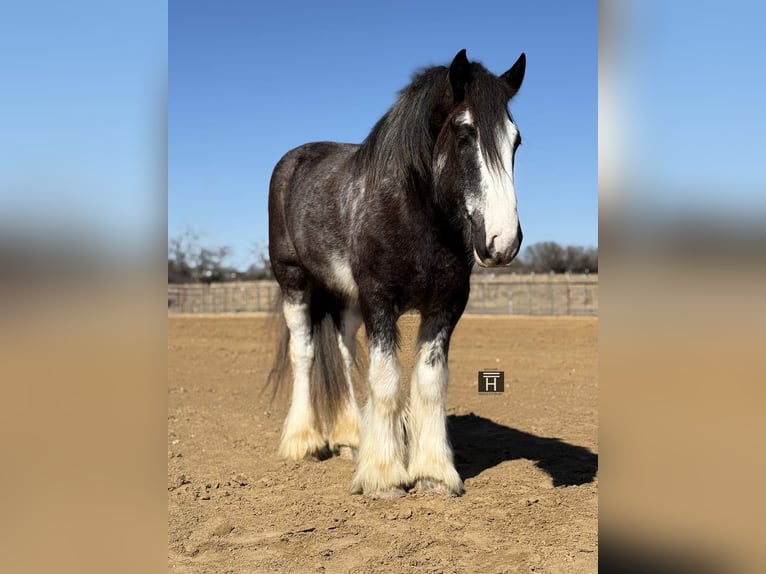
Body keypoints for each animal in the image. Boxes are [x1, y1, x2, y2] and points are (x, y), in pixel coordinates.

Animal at [268, 49, 525, 498]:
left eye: (516, 140)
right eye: (464, 134)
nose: (503, 241)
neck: (412, 214)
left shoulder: (445, 306)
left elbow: (429, 383)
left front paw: (433, 473)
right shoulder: (379, 300)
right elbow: (387, 380)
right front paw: (384, 476)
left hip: (347, 302)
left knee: (344, 353)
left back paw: (352, 438)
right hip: (294, 282)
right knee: (304, 353)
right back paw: (304, 442)